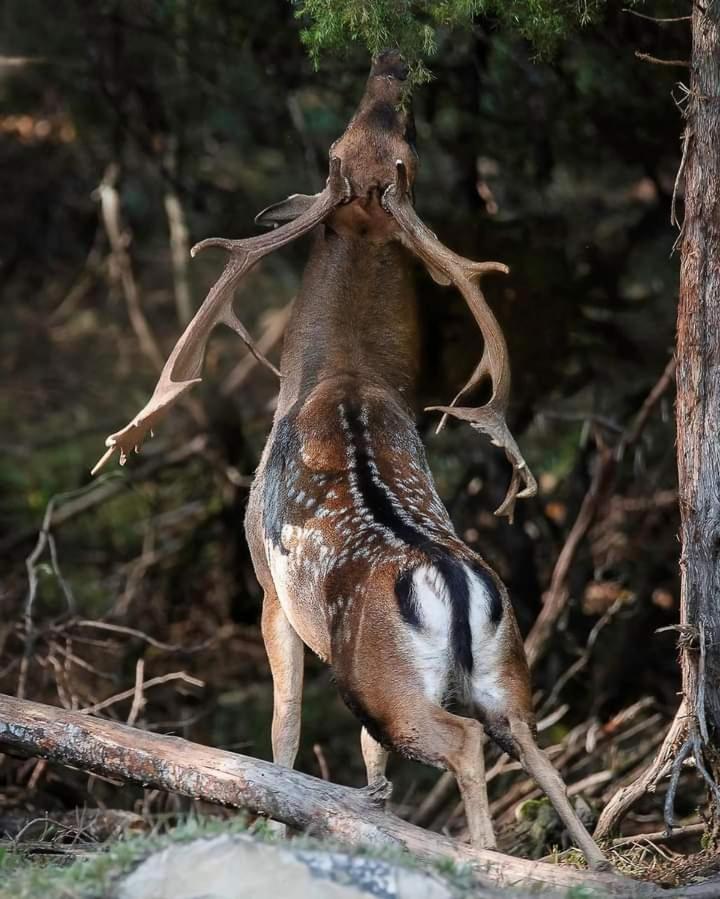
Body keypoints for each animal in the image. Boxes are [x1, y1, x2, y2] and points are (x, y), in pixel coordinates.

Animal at [93, 52, 604, 868]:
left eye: (332, 143)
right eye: (396, 140)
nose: (390, 69)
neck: (343, 372)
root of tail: (453, 582)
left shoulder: (269, 585)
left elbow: (284, 729)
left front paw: (279, 816)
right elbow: (368, 762)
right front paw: (371, 812)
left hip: (384, 678)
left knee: (461, 740)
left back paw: (480, 857)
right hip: (507, 664)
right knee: (532, 740)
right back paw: (596, 861)